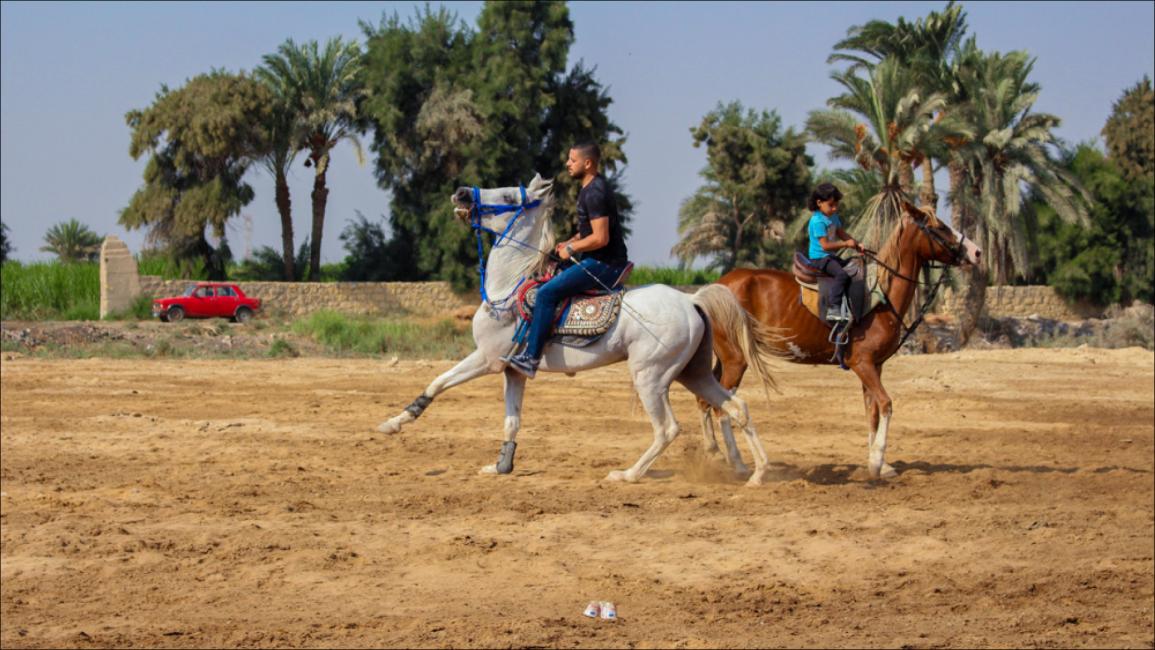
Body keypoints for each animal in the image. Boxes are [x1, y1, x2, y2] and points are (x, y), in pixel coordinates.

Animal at [378, 175, 785, 484]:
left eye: (508, 196)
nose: (462, 192)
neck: (508, 287)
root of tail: (693, 301)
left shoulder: (487, 359)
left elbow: (438, 383)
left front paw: (393, 423)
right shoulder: (513, 371)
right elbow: (511, 421)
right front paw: (501, 466)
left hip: (651, 377)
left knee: (668, 428)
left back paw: (627, 475)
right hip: (693, 372)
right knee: (736, 407)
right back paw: (757, 473)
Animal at [697, 200, 979, 480]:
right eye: (939, 227)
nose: (976, 252)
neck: (881, 296)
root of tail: (711, 289)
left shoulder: (874, 366)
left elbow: (872, 412)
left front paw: (880, 464)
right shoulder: (862, 363)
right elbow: (886, 404)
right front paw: (877, 460)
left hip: (725, 359)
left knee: (705, 401)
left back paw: (714, 453)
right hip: (736, 360)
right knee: (721, 407)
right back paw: (738, 464)